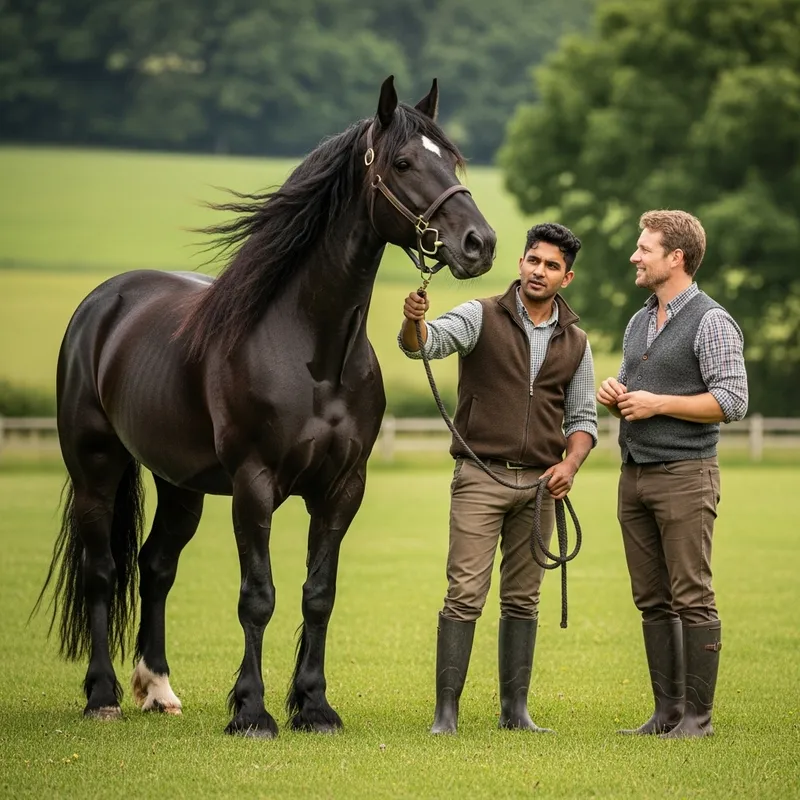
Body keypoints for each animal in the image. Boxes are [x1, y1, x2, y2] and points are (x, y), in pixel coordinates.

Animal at [35, 76, 497, 737]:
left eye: (452, 162)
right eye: (405, 162)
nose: (479, 243)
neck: (312, 349)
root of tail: (105, 301)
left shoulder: (341, 488)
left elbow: (318, 593)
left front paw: (314, 706)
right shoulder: (254, 485)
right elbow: (259, 596)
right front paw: (252, 711)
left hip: (181, 485)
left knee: (156, 566)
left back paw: (158, 689)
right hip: (95, 468)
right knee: (102, 570)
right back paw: (102, 695)